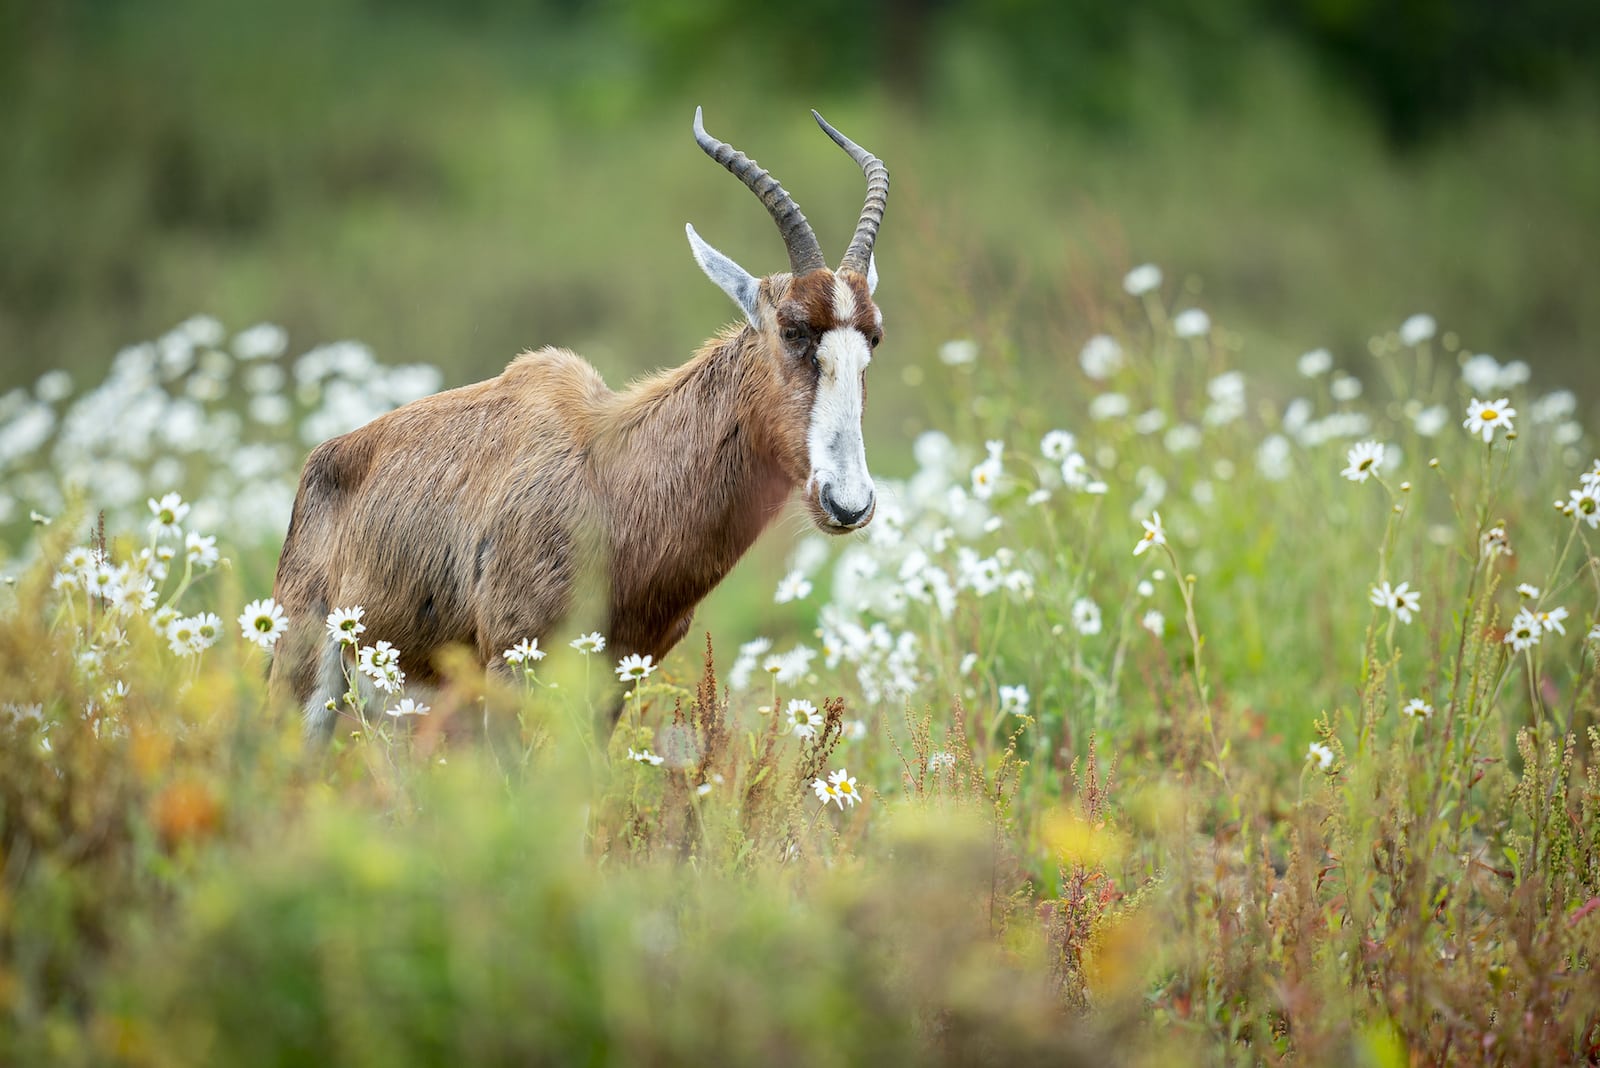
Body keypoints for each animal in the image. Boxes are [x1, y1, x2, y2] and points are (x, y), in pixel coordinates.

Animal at [272, 108, 889, 735]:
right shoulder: (510, 667)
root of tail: (325, 460)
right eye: (792, 329)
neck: (608, 473)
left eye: (873, 339)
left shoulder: (614, 687)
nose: (848, 503)